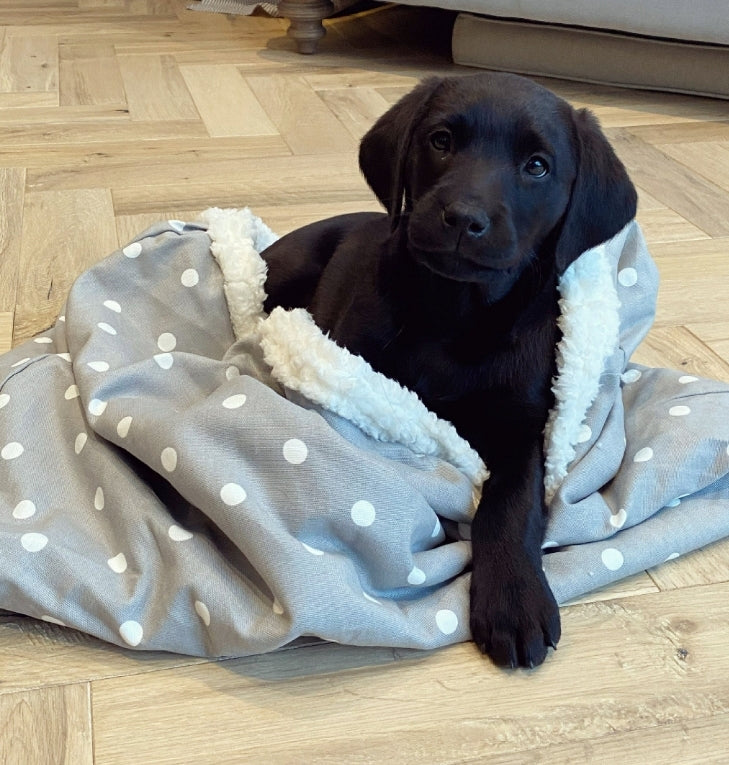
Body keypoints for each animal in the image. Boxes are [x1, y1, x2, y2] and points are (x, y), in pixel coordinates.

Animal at [262, 73, 636, 668]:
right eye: (441, 140)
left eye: (537, 166)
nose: (463, 218)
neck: (456, 312)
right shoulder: (355, 377)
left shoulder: (522, 433)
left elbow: (510, 506)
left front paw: (514, 600)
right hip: (287, 271)